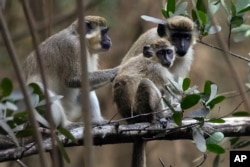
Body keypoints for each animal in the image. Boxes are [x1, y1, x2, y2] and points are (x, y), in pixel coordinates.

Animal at [112, 38, 175, 167]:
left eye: (169, 52)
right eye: (161, 53)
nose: (168, 59)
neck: (151, 59)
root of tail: (131, 119)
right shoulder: (157, 69)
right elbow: (168, 89)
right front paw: (167, 115)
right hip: (142, 110)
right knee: (146, 83)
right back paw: (162, 117)